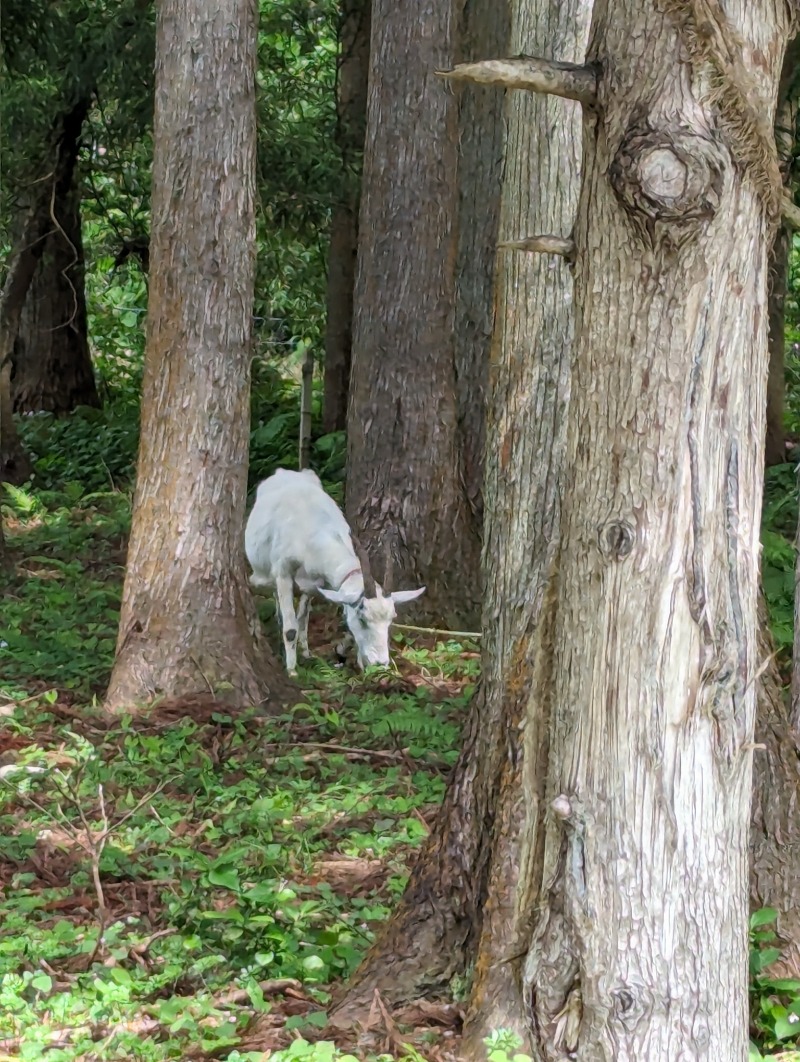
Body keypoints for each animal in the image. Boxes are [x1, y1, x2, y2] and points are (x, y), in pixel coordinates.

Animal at [243, 471, 424, 675]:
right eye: (362, 618)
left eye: (391, 619)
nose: (380, 663)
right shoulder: (283, 573)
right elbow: (290, 629)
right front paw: (291, 671)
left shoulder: (325, 583)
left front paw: (345, 655)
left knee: (303, 613)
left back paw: (306, 651)